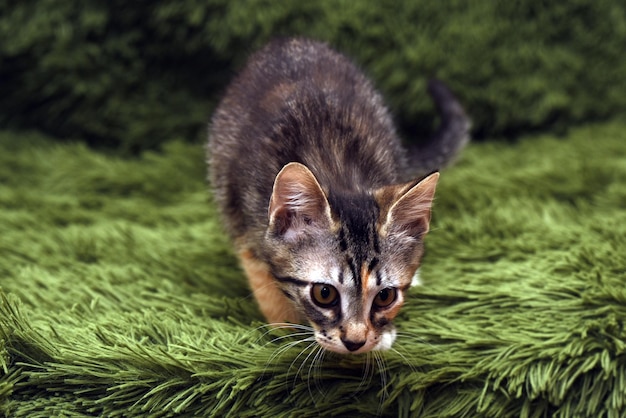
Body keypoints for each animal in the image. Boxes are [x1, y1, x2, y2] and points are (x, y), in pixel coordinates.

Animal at [207, 37, 466, 354]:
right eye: (324, 294)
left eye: (385, 297)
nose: (355, 342)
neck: (337, 174)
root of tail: (289, 41)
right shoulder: (245, 222)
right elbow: (265, 285)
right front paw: (288, 333)